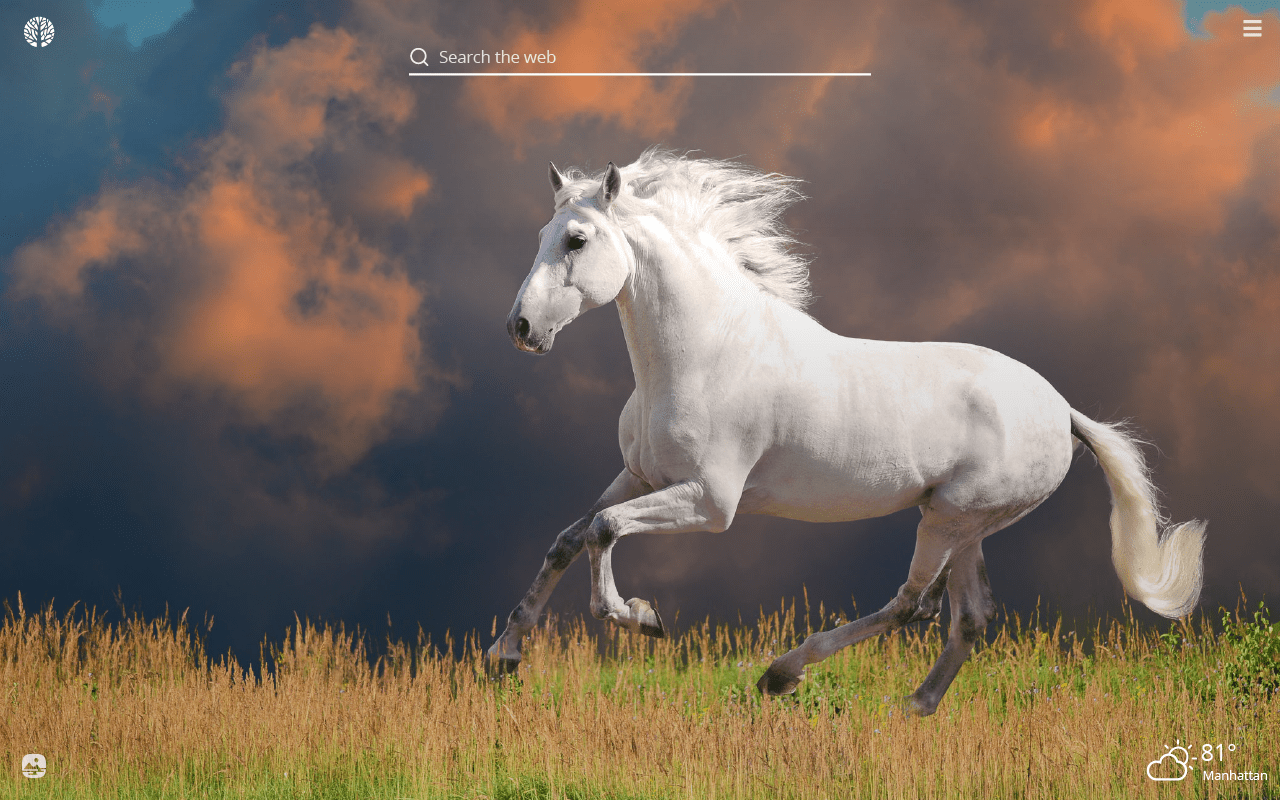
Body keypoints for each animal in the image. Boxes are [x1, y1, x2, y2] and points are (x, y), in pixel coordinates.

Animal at [488, 148, 1207, 716]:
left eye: (576, 240)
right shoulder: (639, 476)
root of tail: (1062, 411)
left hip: (949, 518)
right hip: (968, 525)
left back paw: (783, 674)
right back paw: (914, 707)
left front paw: (640, 618)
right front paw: (504, 654)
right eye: (542, 232)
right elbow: (569, 539)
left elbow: (605, 533)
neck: (706, 354)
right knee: (967, 616)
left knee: (912, 603)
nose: (521, 328)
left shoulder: (711, 502)